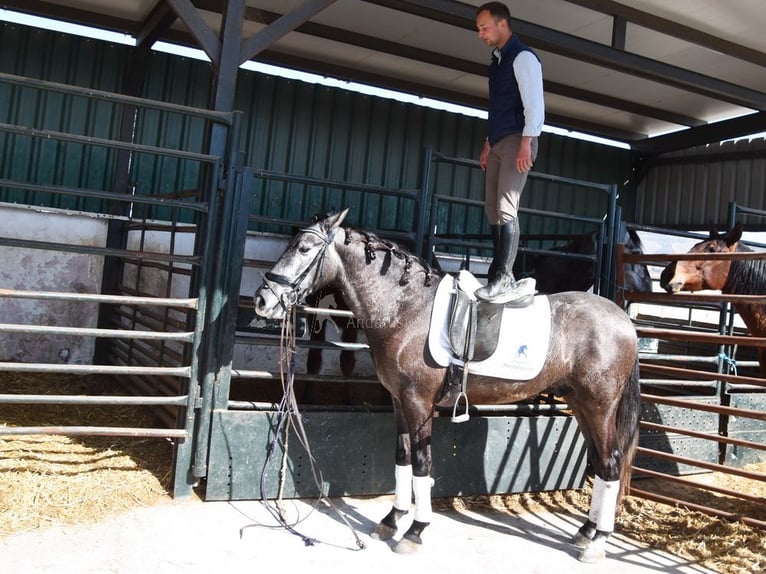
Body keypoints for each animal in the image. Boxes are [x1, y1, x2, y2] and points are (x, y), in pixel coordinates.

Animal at [255, 210, 644, 564]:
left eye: (304, 248)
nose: (263, 299)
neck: (407, 309)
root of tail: (623, 321)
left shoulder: (418, 403)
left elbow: (422, 463)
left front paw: (414, 531)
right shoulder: (398, 401)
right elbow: (402, 458)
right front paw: (392, 519)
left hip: (599, 406)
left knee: (611, 462)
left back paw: (597, 542)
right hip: (580, 405)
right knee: (599, 461)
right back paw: (586, 531)